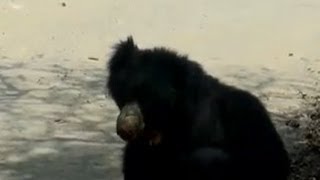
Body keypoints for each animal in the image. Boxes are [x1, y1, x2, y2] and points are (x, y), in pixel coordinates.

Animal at [105, 37, 290, 180]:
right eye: (124, 95)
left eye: (147, 98)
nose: (125, 123)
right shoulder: (141, 147)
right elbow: (135, 164)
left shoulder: (245, 115)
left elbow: (266, 158)